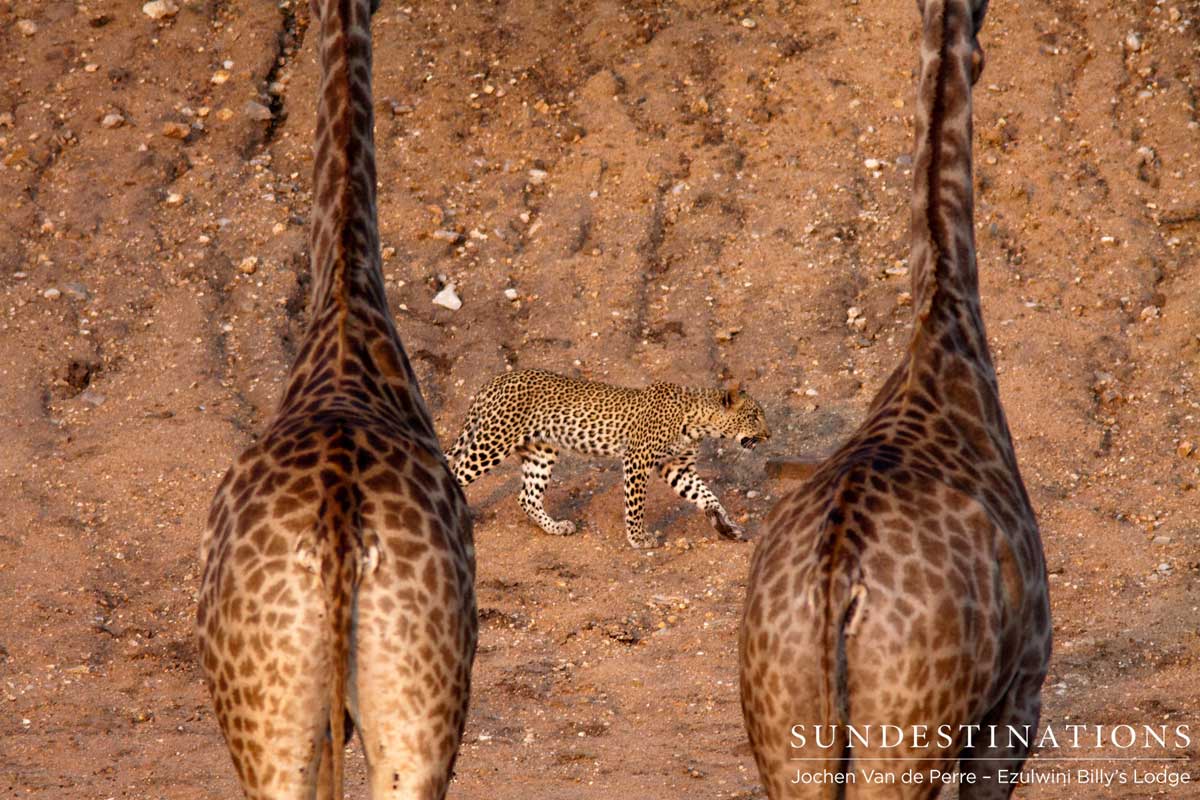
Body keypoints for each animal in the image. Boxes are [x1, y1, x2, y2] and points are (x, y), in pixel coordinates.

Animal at [739, 1, 1051, 797]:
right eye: (980, 51)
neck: (945, 326)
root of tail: (837, 584)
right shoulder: (1020, 691)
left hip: (790, 738)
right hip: (905, 737)